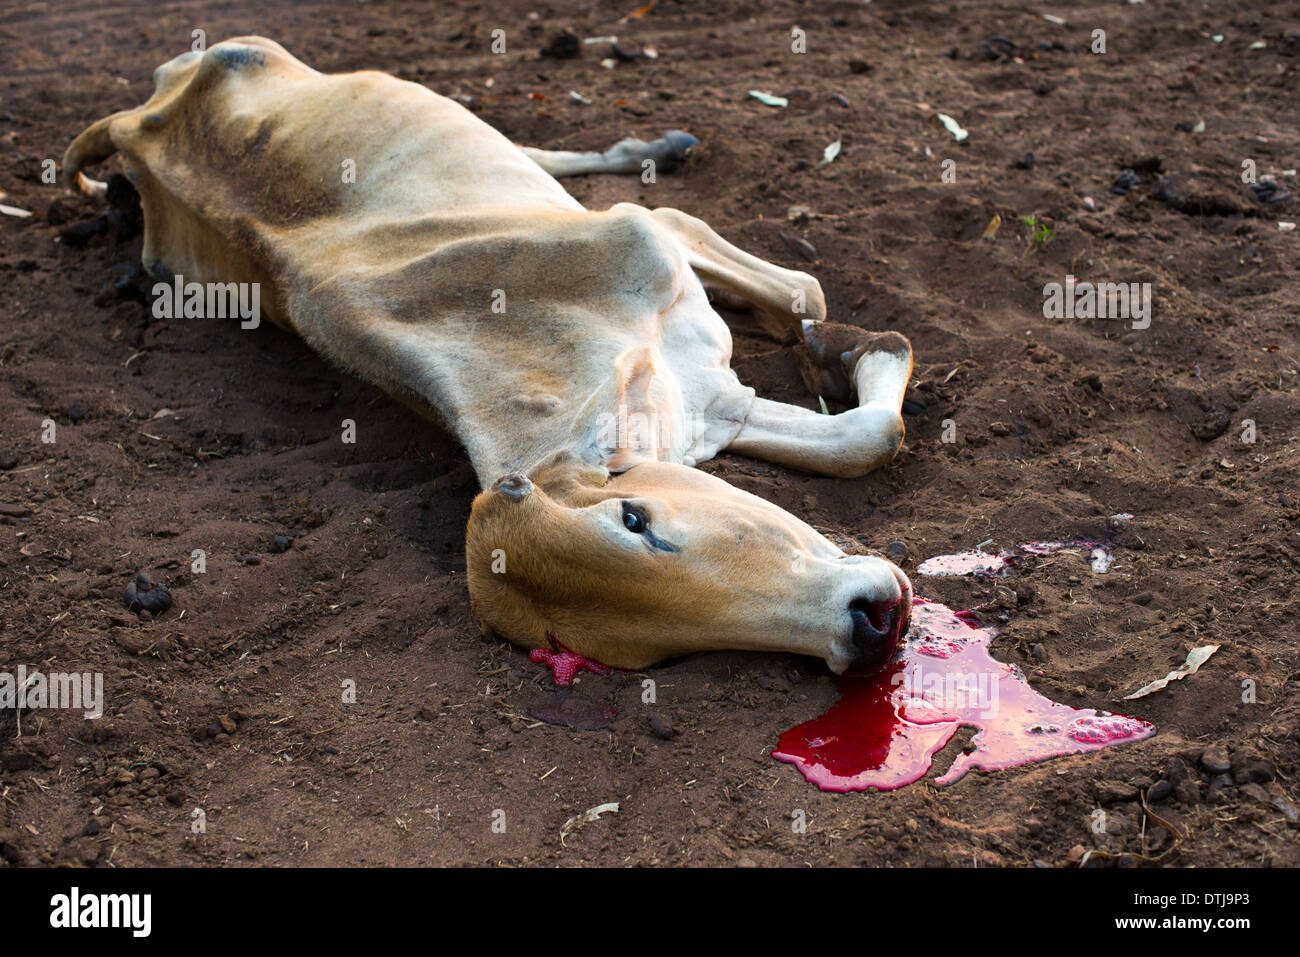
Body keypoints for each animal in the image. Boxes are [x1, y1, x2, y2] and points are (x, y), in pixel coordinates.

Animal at [61, 39, 915, 681]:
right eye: (648, 650)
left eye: (636, 518)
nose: (866, 625)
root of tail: (136, 121)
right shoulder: (715, 407)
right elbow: (864, 431)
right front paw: (858, 352)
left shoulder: (648, 242)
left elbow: (802, 294)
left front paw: (843, 343)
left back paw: (657, 147)